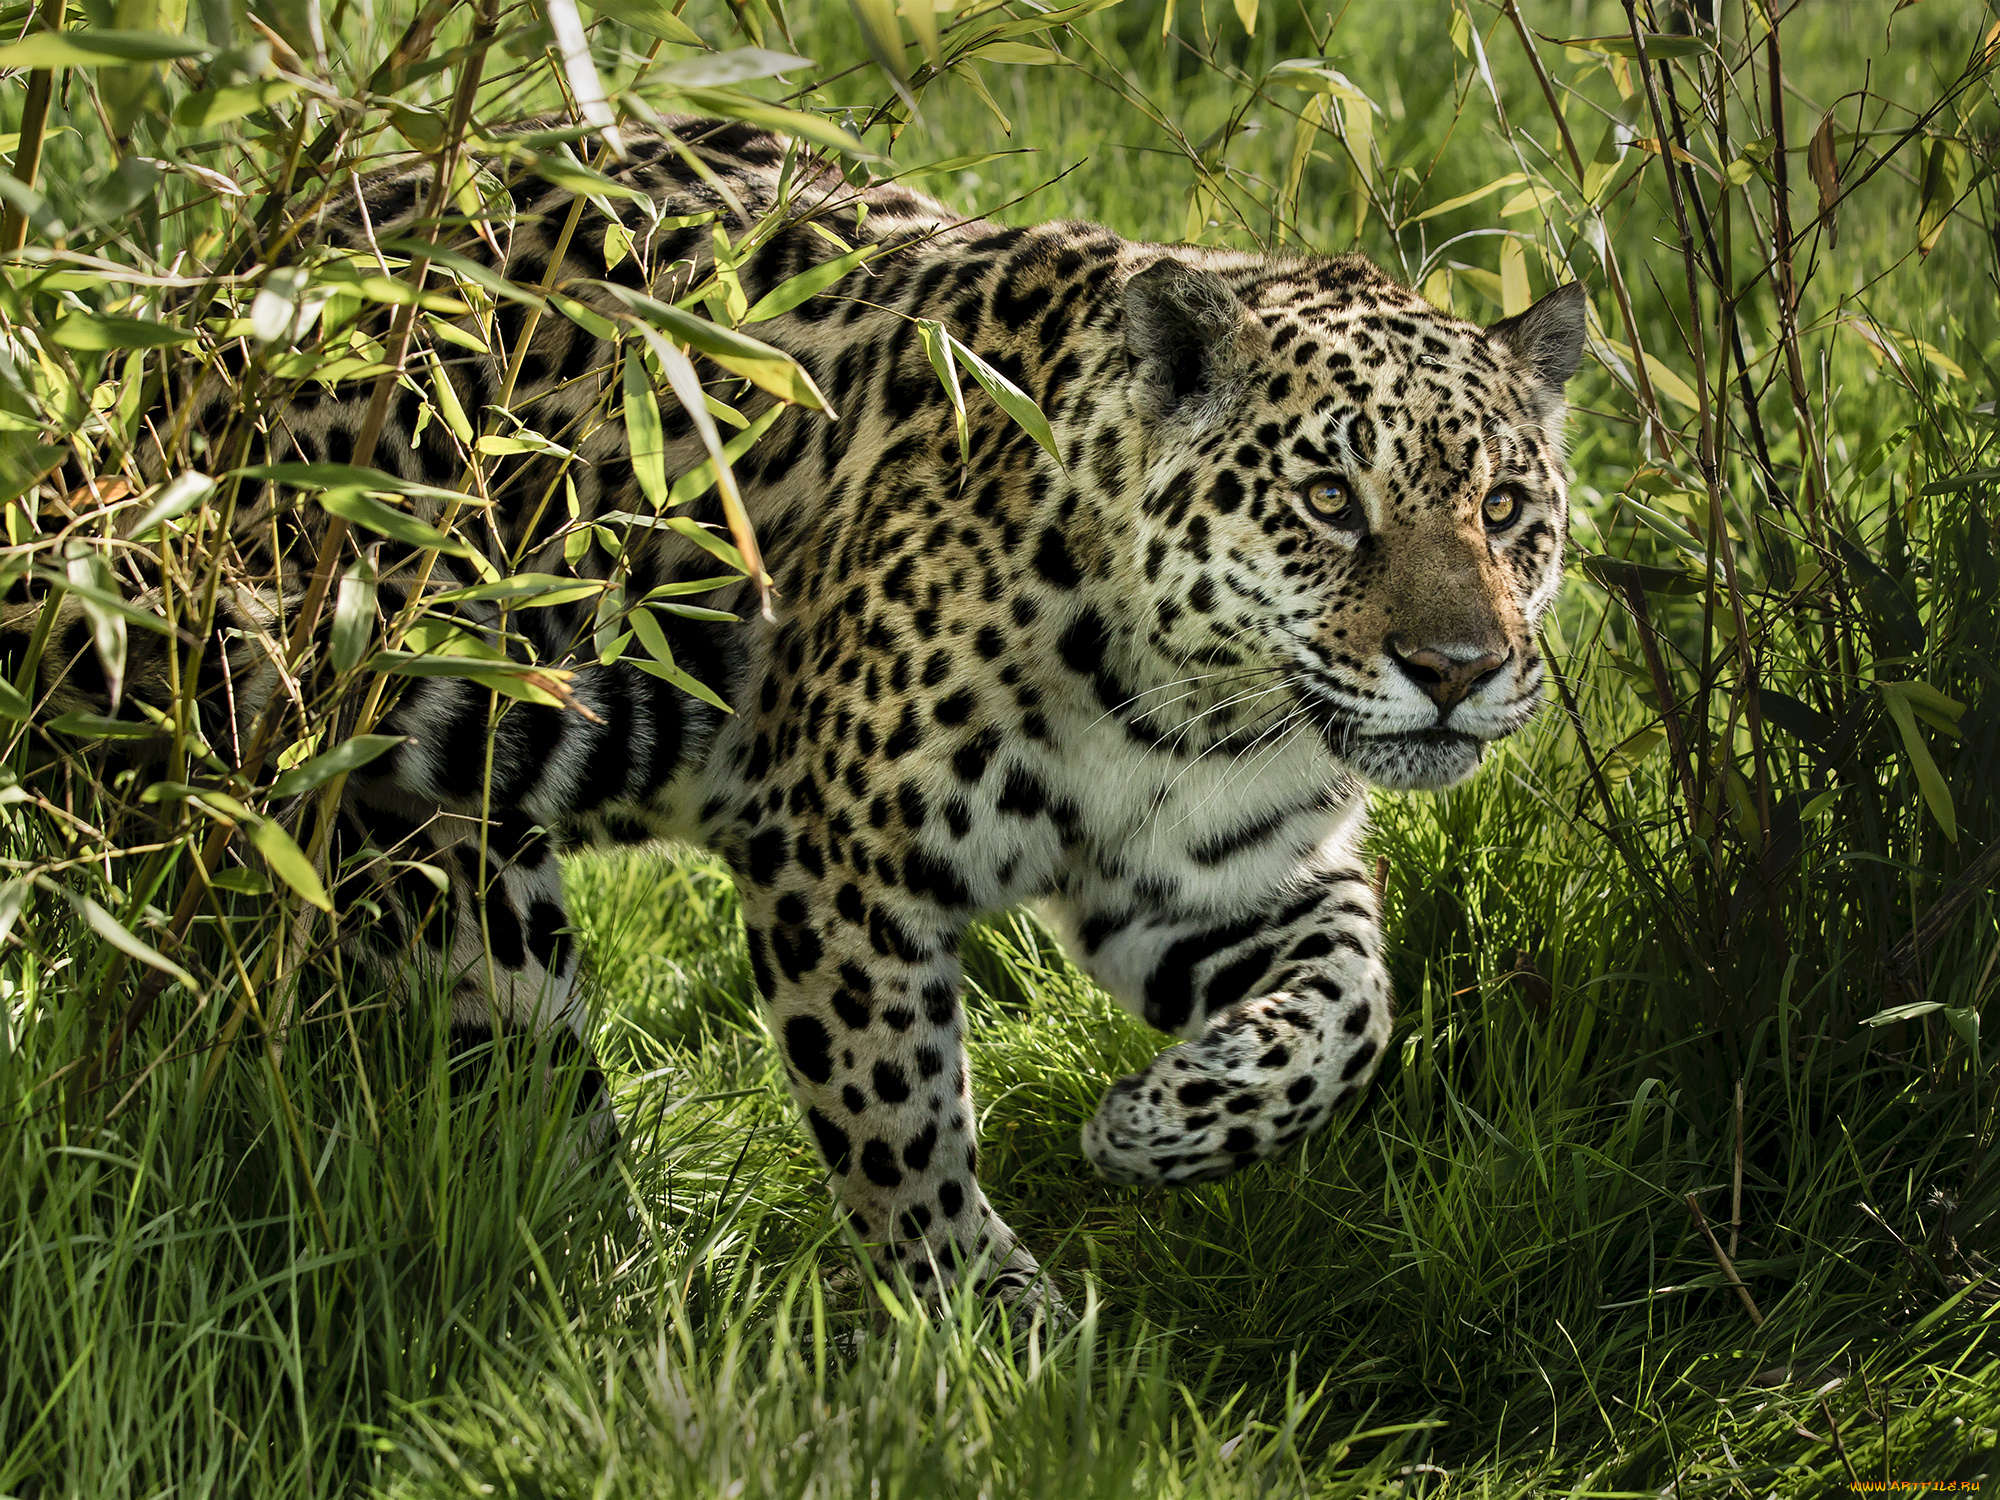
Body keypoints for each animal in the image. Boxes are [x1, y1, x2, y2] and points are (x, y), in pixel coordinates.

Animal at [15, 115, 1586, 1323]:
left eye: (1507, 507)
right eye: (1329, 500)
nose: (1458, 667)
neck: (1195, 709)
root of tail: (200, 325)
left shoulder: (1219, 884)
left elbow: (1353, 1003)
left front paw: (1158, 1129)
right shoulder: (842, 866)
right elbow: (899, 1124)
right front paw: (988, 1337)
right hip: (426, 848)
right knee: (529, 1118)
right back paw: (622, 1310)